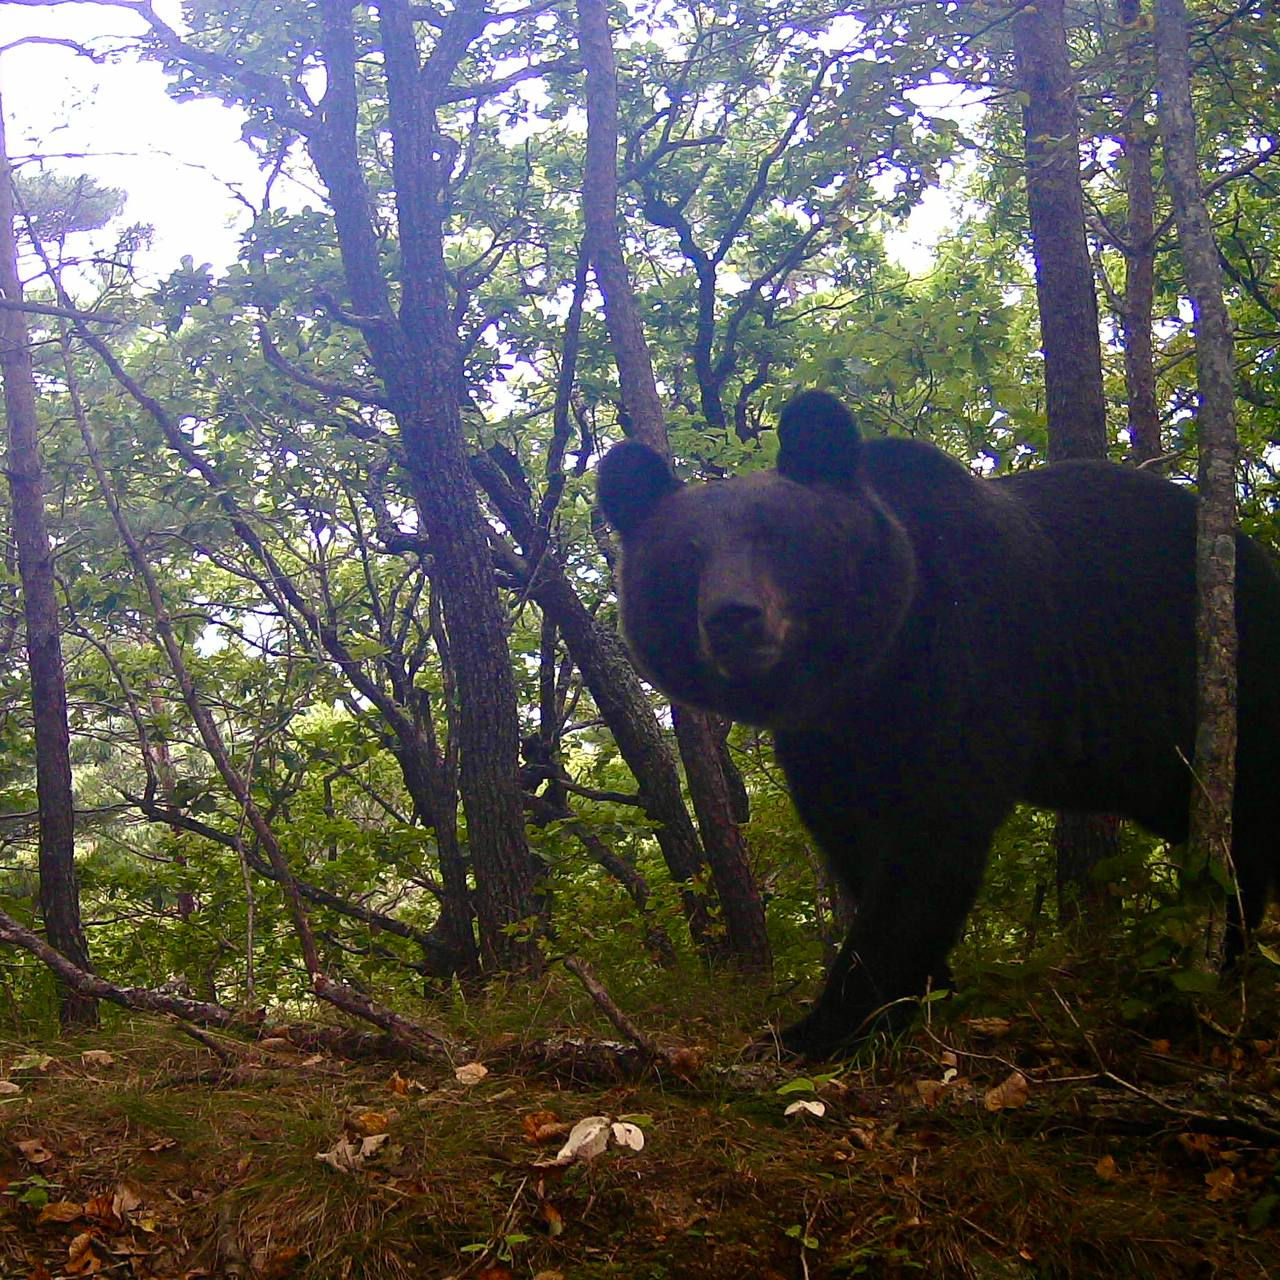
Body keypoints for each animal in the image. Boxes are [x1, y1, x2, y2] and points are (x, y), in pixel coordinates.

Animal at [596, 389, 1280, 1059]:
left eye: (777, 536)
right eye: (685, 556)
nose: (733, 616)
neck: (874, 667)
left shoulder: (966, 653)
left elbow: (929, 838)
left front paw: (824, 1025)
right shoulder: (825, 738)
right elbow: (852, 834)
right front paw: (921, 992)